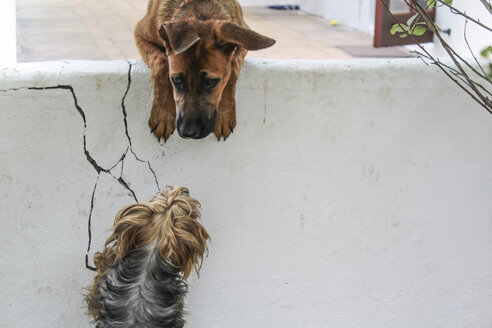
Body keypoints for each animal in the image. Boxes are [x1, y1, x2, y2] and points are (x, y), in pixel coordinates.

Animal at [135, 0, 274, 140]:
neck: (201, 12)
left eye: (211, 82)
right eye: (176, 80)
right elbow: (161, 62)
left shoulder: (241, 42)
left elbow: (233, 67)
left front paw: (224, 116)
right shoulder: (140, 35)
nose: (189, 133)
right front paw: (163, 115)